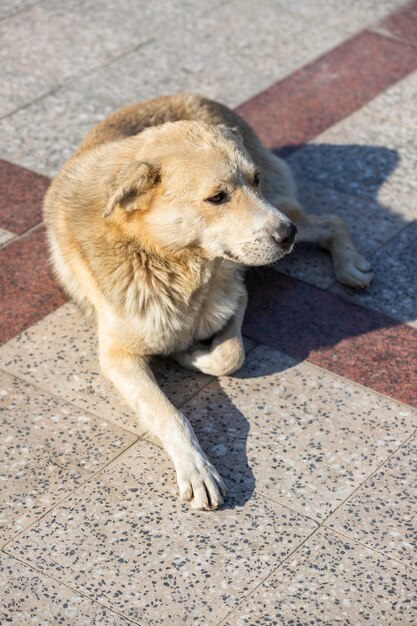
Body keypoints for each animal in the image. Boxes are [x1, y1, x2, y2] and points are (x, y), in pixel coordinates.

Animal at [44, 95, 372, 510]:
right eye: (217, 197)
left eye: (255, 180)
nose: (287, 235)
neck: (172, 263)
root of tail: (199, 98)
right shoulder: (117, 356)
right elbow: (169, 413)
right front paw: (197, 468)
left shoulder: (236, 293)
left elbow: (232, 355)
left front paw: (190, 354)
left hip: (284, 207)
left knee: (332, 220)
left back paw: (350, 265)